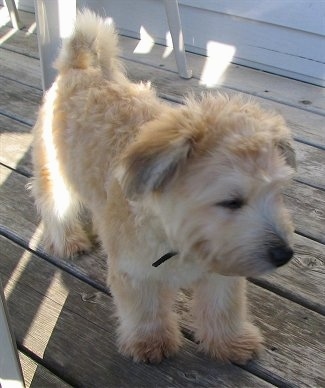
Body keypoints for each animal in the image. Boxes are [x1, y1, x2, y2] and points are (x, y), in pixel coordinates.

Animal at [31, 10, 294, 366]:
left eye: (276, 193)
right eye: (231, 201)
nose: (284, 254)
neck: (179, 239)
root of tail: (80, 68)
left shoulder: (221, 272)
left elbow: (223, 308)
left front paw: (230, 341)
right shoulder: (136, 275)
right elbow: (146, 311)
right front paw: (151, 342)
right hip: (55, 176)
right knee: (55, 207)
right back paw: (69, 240)